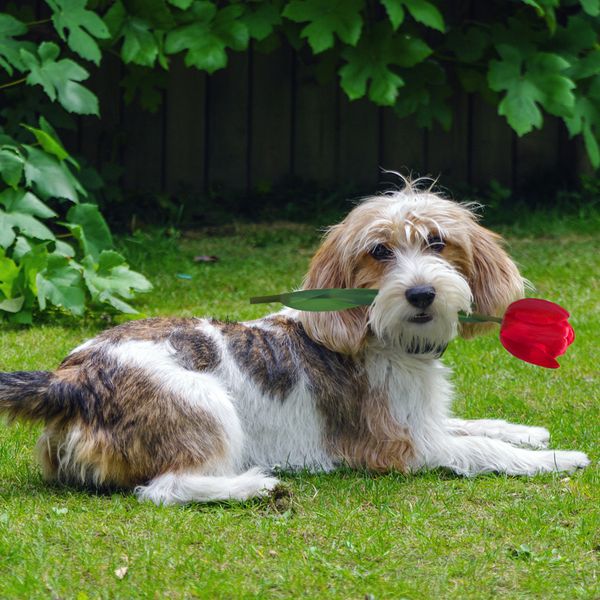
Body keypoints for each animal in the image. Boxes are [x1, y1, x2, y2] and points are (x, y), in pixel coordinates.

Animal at [0, 180, 592, 504]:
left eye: (438, 242)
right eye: (379, 251)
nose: (422, 293)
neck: (381, 335)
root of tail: (68, 379)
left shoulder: (421, 421)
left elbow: (478, 425)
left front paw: (530, 433)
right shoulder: (402, 446)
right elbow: (481, 448)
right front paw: (557, 457)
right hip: (207, 404)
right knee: (164, 489)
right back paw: (253, 486)